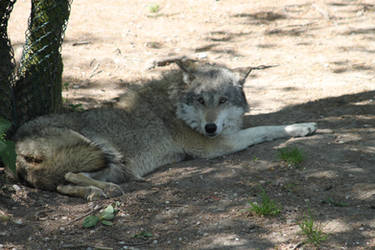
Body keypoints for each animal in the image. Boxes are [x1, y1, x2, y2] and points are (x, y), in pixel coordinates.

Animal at [13, 57, 318, 200]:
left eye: (222, 100)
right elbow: (267, 128)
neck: (176, 106)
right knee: (71, 176)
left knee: (64, 184)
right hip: (106, 152)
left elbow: (258, 123)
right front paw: (302, 126)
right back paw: (107, 190)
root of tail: (18, 144)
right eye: (200, 100)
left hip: (109, 163)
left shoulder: (224, 134)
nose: (209, 127)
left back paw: (97, 192)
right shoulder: (214, 146)